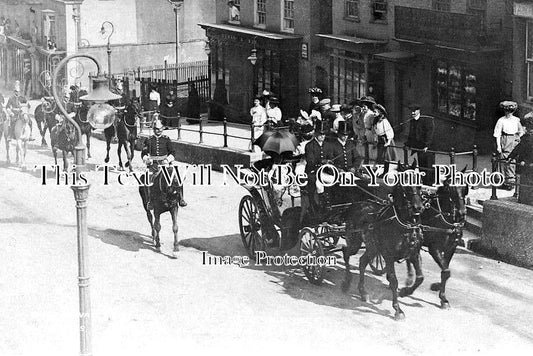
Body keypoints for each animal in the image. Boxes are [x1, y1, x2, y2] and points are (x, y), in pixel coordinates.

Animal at [340, 163, 424, 322]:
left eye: (420, 183)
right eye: (406, 184)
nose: (418, 208)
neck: (403, 224)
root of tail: (357, 204)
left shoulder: (413, 253)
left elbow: (420, 277)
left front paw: (406, 291)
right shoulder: (388, 256)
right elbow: (393, 281)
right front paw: (398, 309)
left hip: (372, 248)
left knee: (362, 261)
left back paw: (363, 292)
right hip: (354, 242)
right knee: (346, 252)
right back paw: (346, 282)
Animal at [406, 175, 468, 308]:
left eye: (465, 187)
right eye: (451, 188)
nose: (462, 212)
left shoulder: (451, 248)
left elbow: (446, 271)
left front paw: (441, 294)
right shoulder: (435, 248)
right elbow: (446, 271)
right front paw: (441, 294)